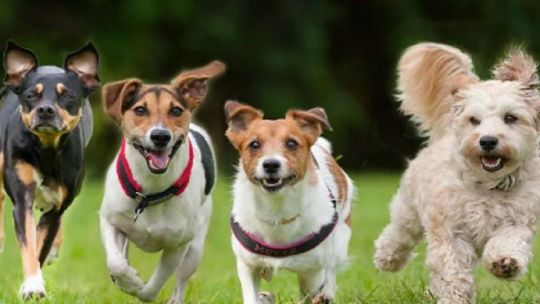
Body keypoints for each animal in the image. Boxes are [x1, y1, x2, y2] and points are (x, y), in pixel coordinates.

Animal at [0, 41, 99, 300]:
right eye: (30, 95)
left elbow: (40, 246)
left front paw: (31, 286)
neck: (46, 149)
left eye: (68, 96)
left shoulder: (56, 205)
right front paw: (33, 286)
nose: (45, 110)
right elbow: (29, 242)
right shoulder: (21, 195)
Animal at [98, 60, 224, 302]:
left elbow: (152, 287)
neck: (151, 191)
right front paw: (128, 279)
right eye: (140, 110)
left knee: (182, 278)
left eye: (176, 110)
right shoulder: (110, 220)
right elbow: (116, 263)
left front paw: (138, 287)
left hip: (195, 246)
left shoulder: (178, 245)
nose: (160, 136)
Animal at [224, 102, 354, 304]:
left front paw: (323, 294)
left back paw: (327, 293)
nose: (270, 164)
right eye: (254, 144)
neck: (276, 208)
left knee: (331, 269)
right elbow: (251, 296)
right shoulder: (248, 265)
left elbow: (315, 287)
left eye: (291, 143)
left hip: (340, 237)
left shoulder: (312, 272)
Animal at [374, 41, 540, 302]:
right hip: (409, 207)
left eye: (510, 117)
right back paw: (388, 257)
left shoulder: (519, 220)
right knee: (400, 232)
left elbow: (508, 241)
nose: (488, 140)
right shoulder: (450, 230)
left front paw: (505, 263)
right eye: (474, 120)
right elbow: (452, 271)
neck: (488, 187)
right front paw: (454, 297)